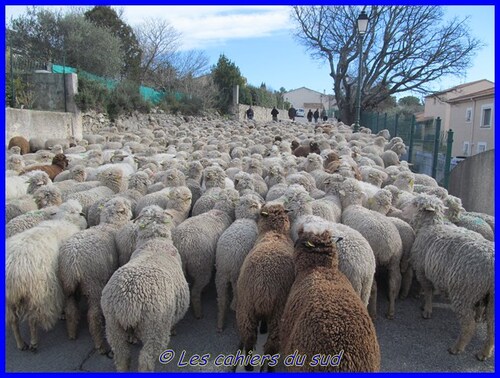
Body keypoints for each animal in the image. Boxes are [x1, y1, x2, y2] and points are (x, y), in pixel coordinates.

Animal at [235, 204, 294, 372]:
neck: (274, 233)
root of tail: (263, 285)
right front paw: (263, 328)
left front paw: (262, 327)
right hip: (279, 312)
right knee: (271, 346)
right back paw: (270, 368)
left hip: (246, 307)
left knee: (249, 339)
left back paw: (248, 366)